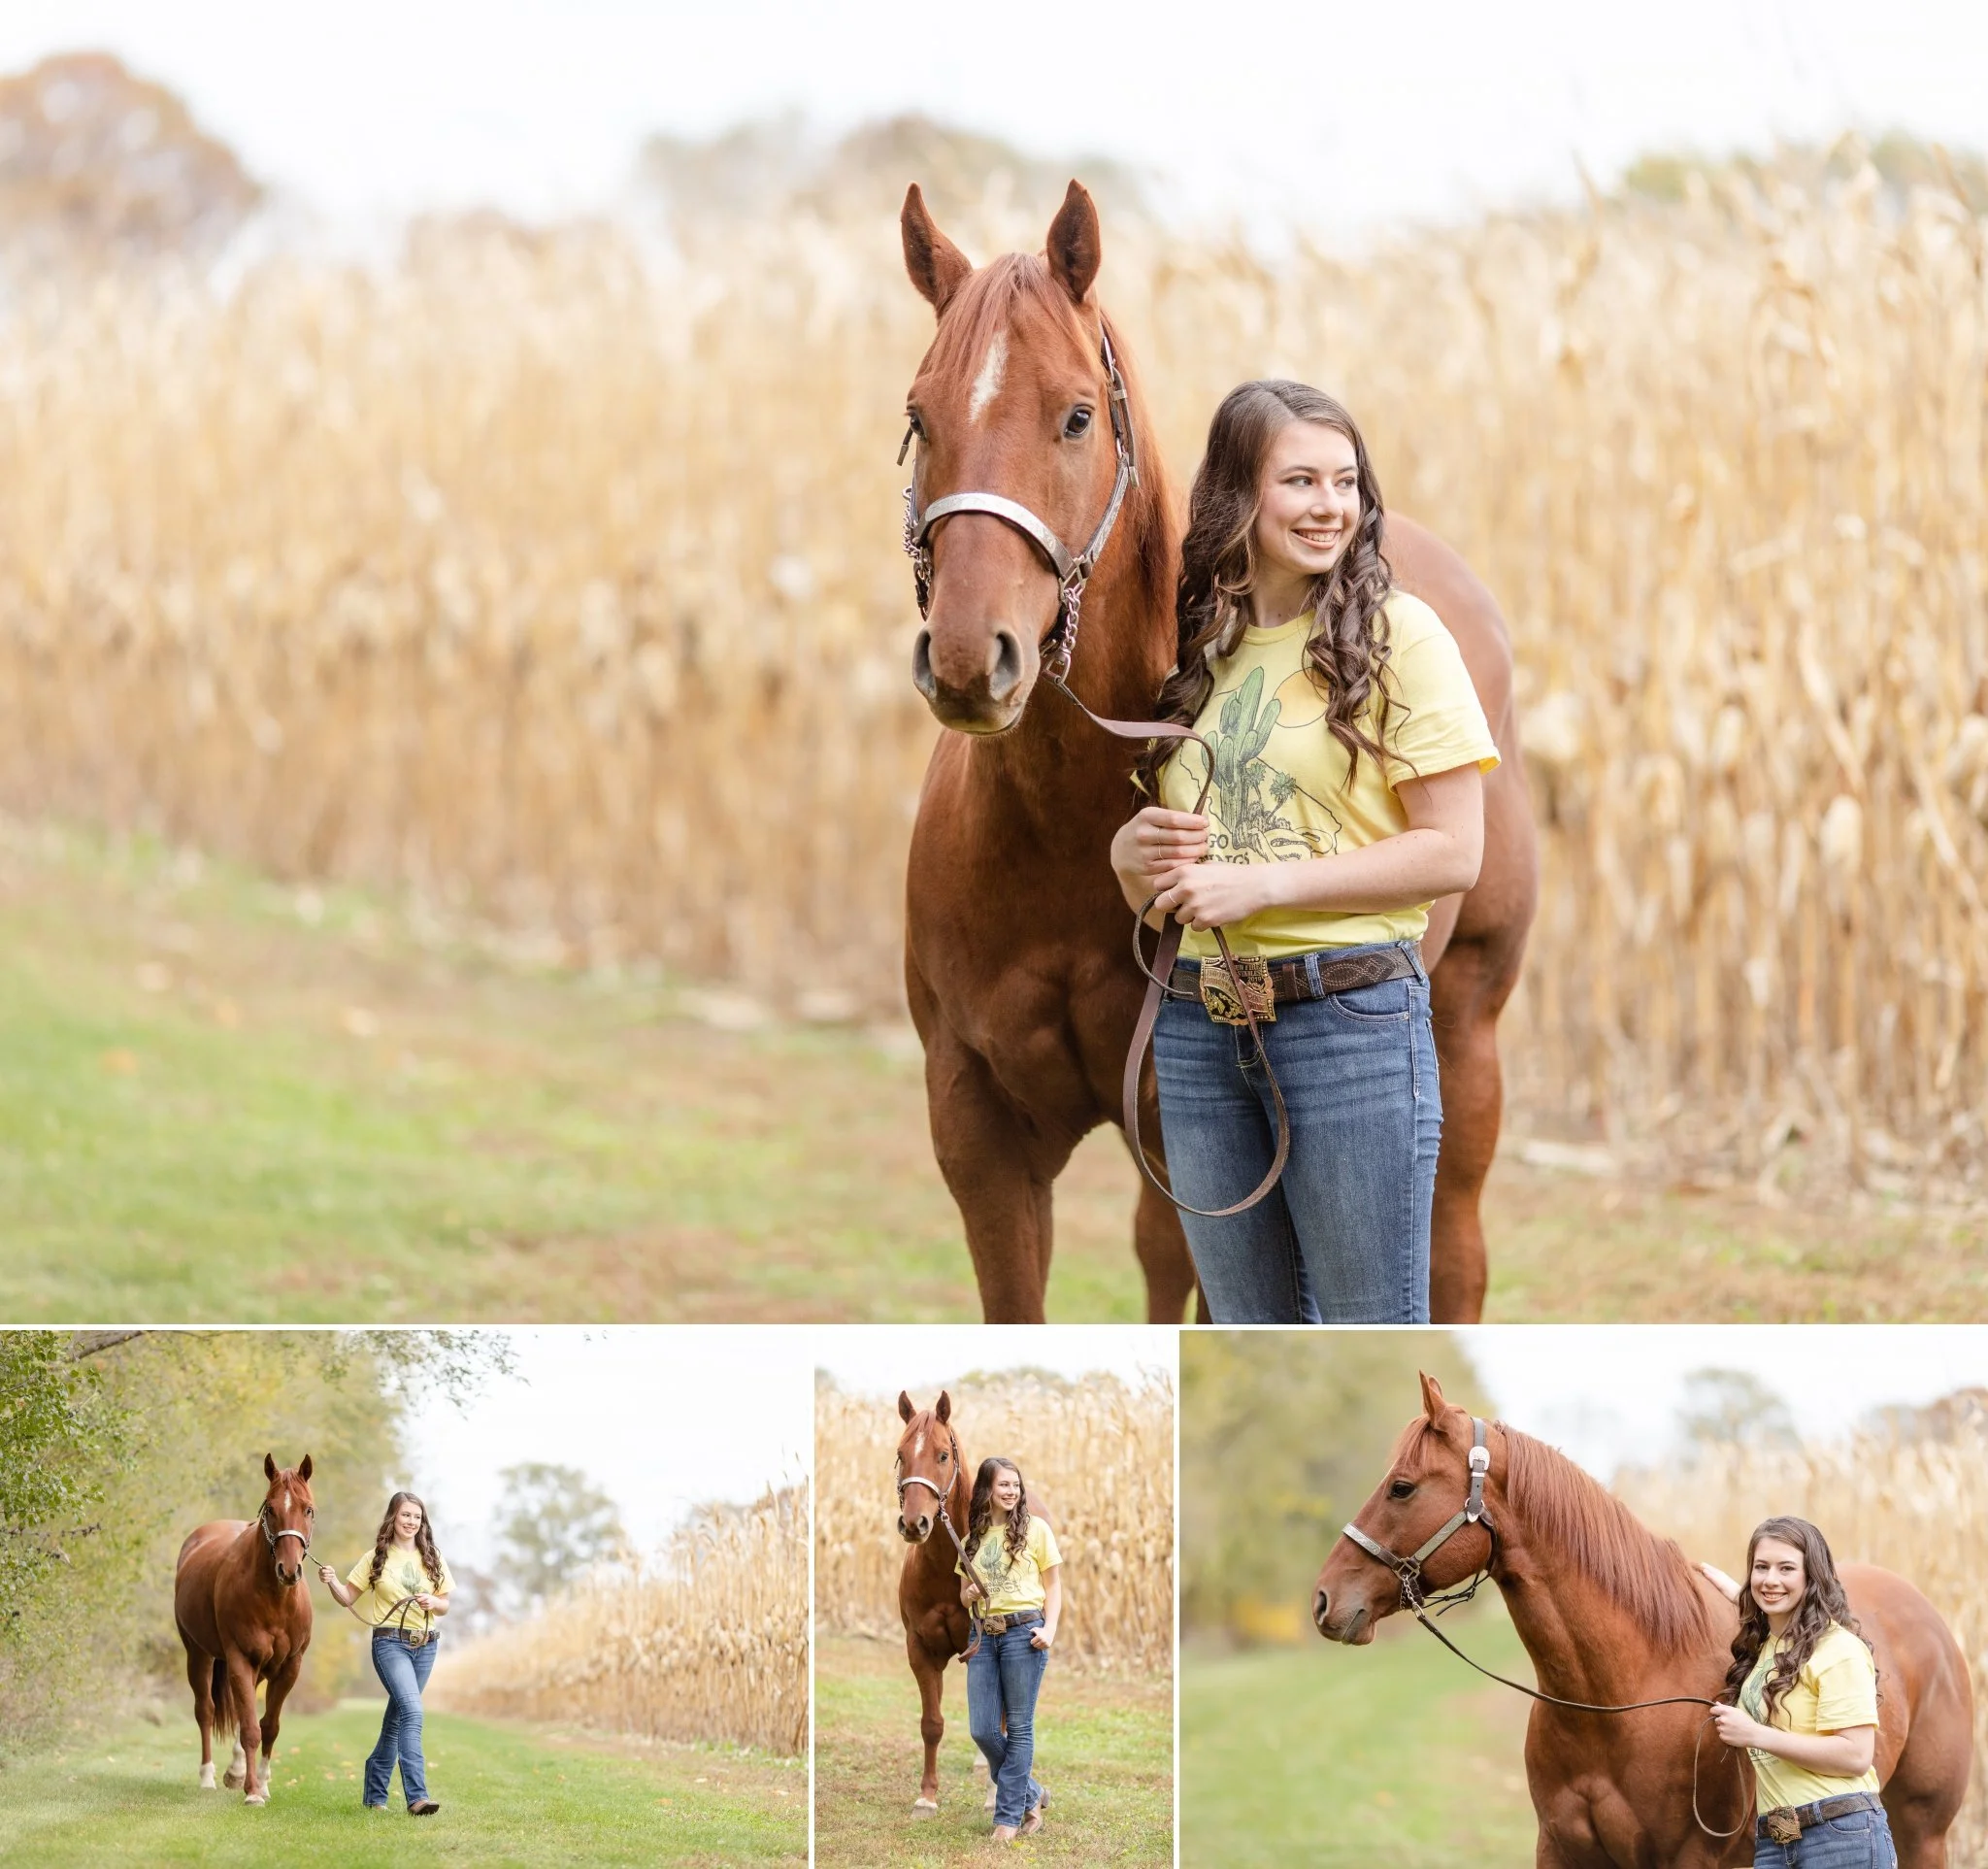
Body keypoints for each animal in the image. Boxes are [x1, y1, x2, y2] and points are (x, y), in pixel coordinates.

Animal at [173, 1452, 316, 1805]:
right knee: (206, 1711)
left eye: (308, 1509)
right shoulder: (240, 1658)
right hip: (198, 1654)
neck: (275, 1599)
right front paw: (252, 1791)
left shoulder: (289, 1666)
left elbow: (270, 1726)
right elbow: (251, 1728)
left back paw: (235, 1771)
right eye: (271, 1508)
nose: (289, 1570)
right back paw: (208, 1776)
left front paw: (261, 1783)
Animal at [898, 179, 1537, 1324]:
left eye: (1075, 414)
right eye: (919, 417)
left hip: (1466, 1029)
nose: (972, 659)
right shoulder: (976, 1126)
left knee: (1452, 1254)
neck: (1053, 834)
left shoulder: (1182, 1118)